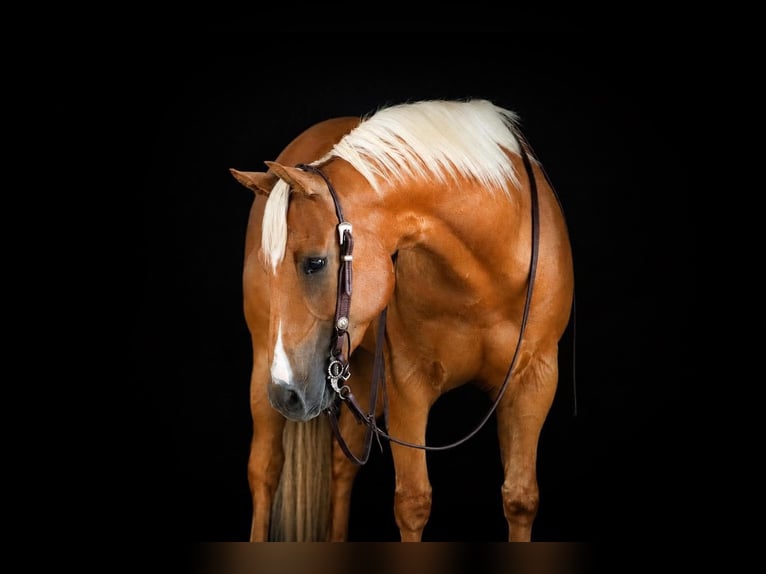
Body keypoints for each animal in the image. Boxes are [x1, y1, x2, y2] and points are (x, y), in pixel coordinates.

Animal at [230, 98, 574, 542]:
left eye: (315, 263)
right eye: (267, 265)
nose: (286, 393)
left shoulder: (534, 381)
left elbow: (520, 498)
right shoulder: (408, 384)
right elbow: (413, 503)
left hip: (356, 371)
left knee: (342, 466)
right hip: (266, 365)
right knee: (266, 470)